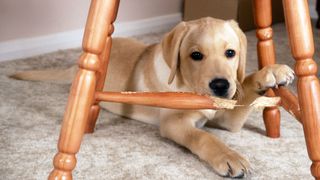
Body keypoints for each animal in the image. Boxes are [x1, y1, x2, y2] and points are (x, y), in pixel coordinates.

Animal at [12, 17, 294, 178]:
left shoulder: (227, 116)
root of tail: (74, 68)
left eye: (231, 53)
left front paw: (271, 72)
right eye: (196, 55)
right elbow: (203, 136)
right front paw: (229, 157)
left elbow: (245, 84)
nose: (220, 85)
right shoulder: (174, 122)